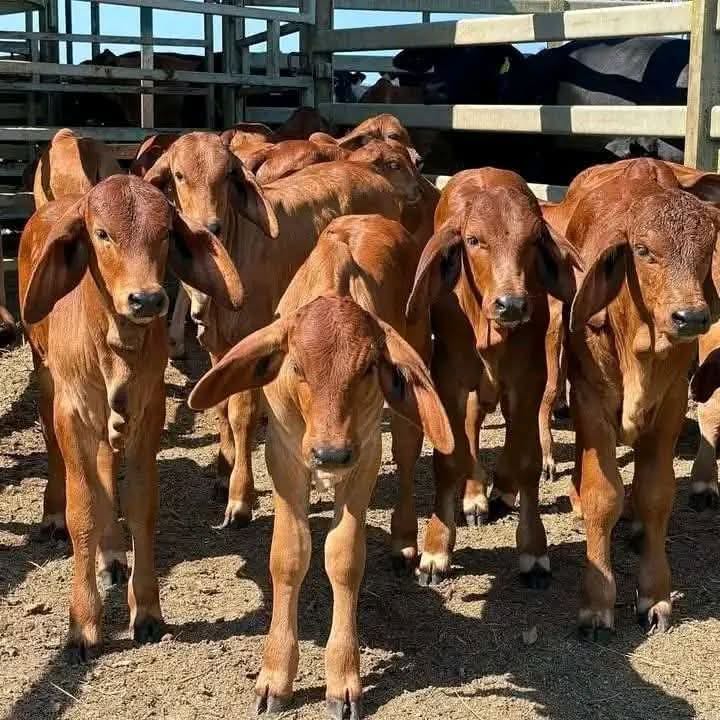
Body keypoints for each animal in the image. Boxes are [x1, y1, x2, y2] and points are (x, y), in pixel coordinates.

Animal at [18, 174, 243, 659]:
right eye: (102, 234)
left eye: (164, 235)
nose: (146, 299)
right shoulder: (74, 411)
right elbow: (83, 509)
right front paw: (83, 623)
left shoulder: (147, 409)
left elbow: (140, 505)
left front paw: (147, 610)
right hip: (45, 376)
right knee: (55, 454)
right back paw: (55, 516)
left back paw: (113, 555)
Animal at [144, 131, 425, 529]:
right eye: (179, 175)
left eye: (226, 175)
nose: (210, 226)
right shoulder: (217, 345)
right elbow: (221, 407)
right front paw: (222, 472)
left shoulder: (253, 335)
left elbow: (241, 414)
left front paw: (239, 497)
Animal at [187, 216, 453, 717]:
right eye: (296, 367)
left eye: (368, 367)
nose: (330, 454)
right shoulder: (285, 458)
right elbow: (288, 557)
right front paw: (275, 675)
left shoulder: (363, 458)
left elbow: (343, 558)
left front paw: (342, 678)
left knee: (408, 457)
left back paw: (405, 540)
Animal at [405, 168, 582, 586]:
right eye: (473, 240)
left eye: (533, 240)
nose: (511, 304)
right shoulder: (448, 379)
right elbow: (449, 460)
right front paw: (435, 550)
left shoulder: (529, 379)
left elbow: (526, 460)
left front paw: (533, 549)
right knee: (471, 428)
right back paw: (474, 497)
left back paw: (498, 490)